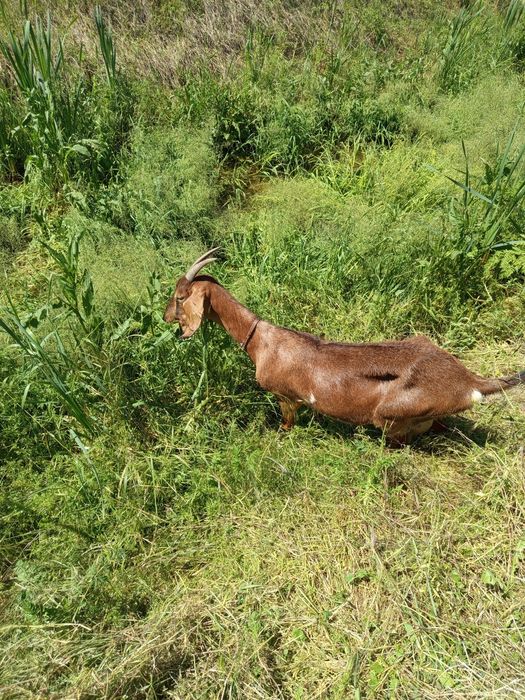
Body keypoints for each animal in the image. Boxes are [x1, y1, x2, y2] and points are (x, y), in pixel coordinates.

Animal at [164, 249, 525, 442]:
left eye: (180, 297)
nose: (166, 317)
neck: (261, 341)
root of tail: (468, 381)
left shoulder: (285, 398)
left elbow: (286, 425)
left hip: (390, 415)